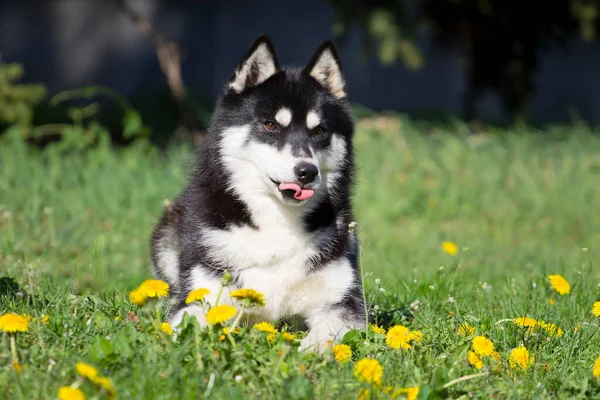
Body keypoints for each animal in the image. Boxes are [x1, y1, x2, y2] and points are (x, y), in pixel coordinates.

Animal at [150, 35, 366, 354]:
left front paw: (310, 353)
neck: (277, 223)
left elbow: (325, 334)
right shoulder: (202, 297)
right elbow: (188, 322)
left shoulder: (344, 304)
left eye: (320, 130)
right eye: (270, 125)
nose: (307, 171)